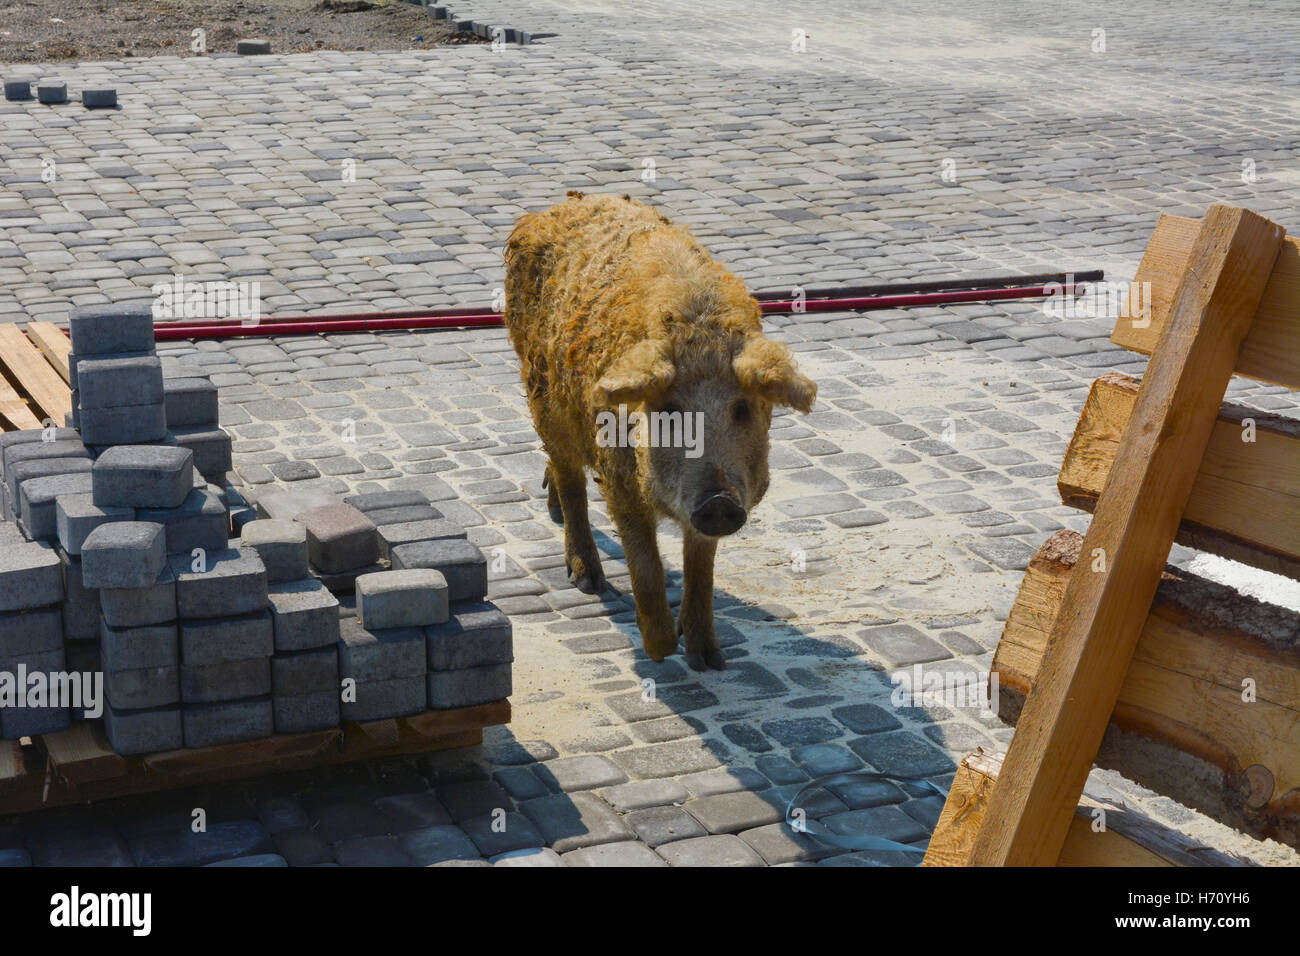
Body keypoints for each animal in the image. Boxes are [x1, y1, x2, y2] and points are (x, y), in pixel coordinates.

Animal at [504, 192, 816, 671]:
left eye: (742, 408)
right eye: (669, 411)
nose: (720, 500)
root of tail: (555, 208)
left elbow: (701, 569)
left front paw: (709, 659)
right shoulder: (619, 477)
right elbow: (646, 566)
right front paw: (662, 650)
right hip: (542, 396)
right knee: (571, 479)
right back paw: (588, 580)